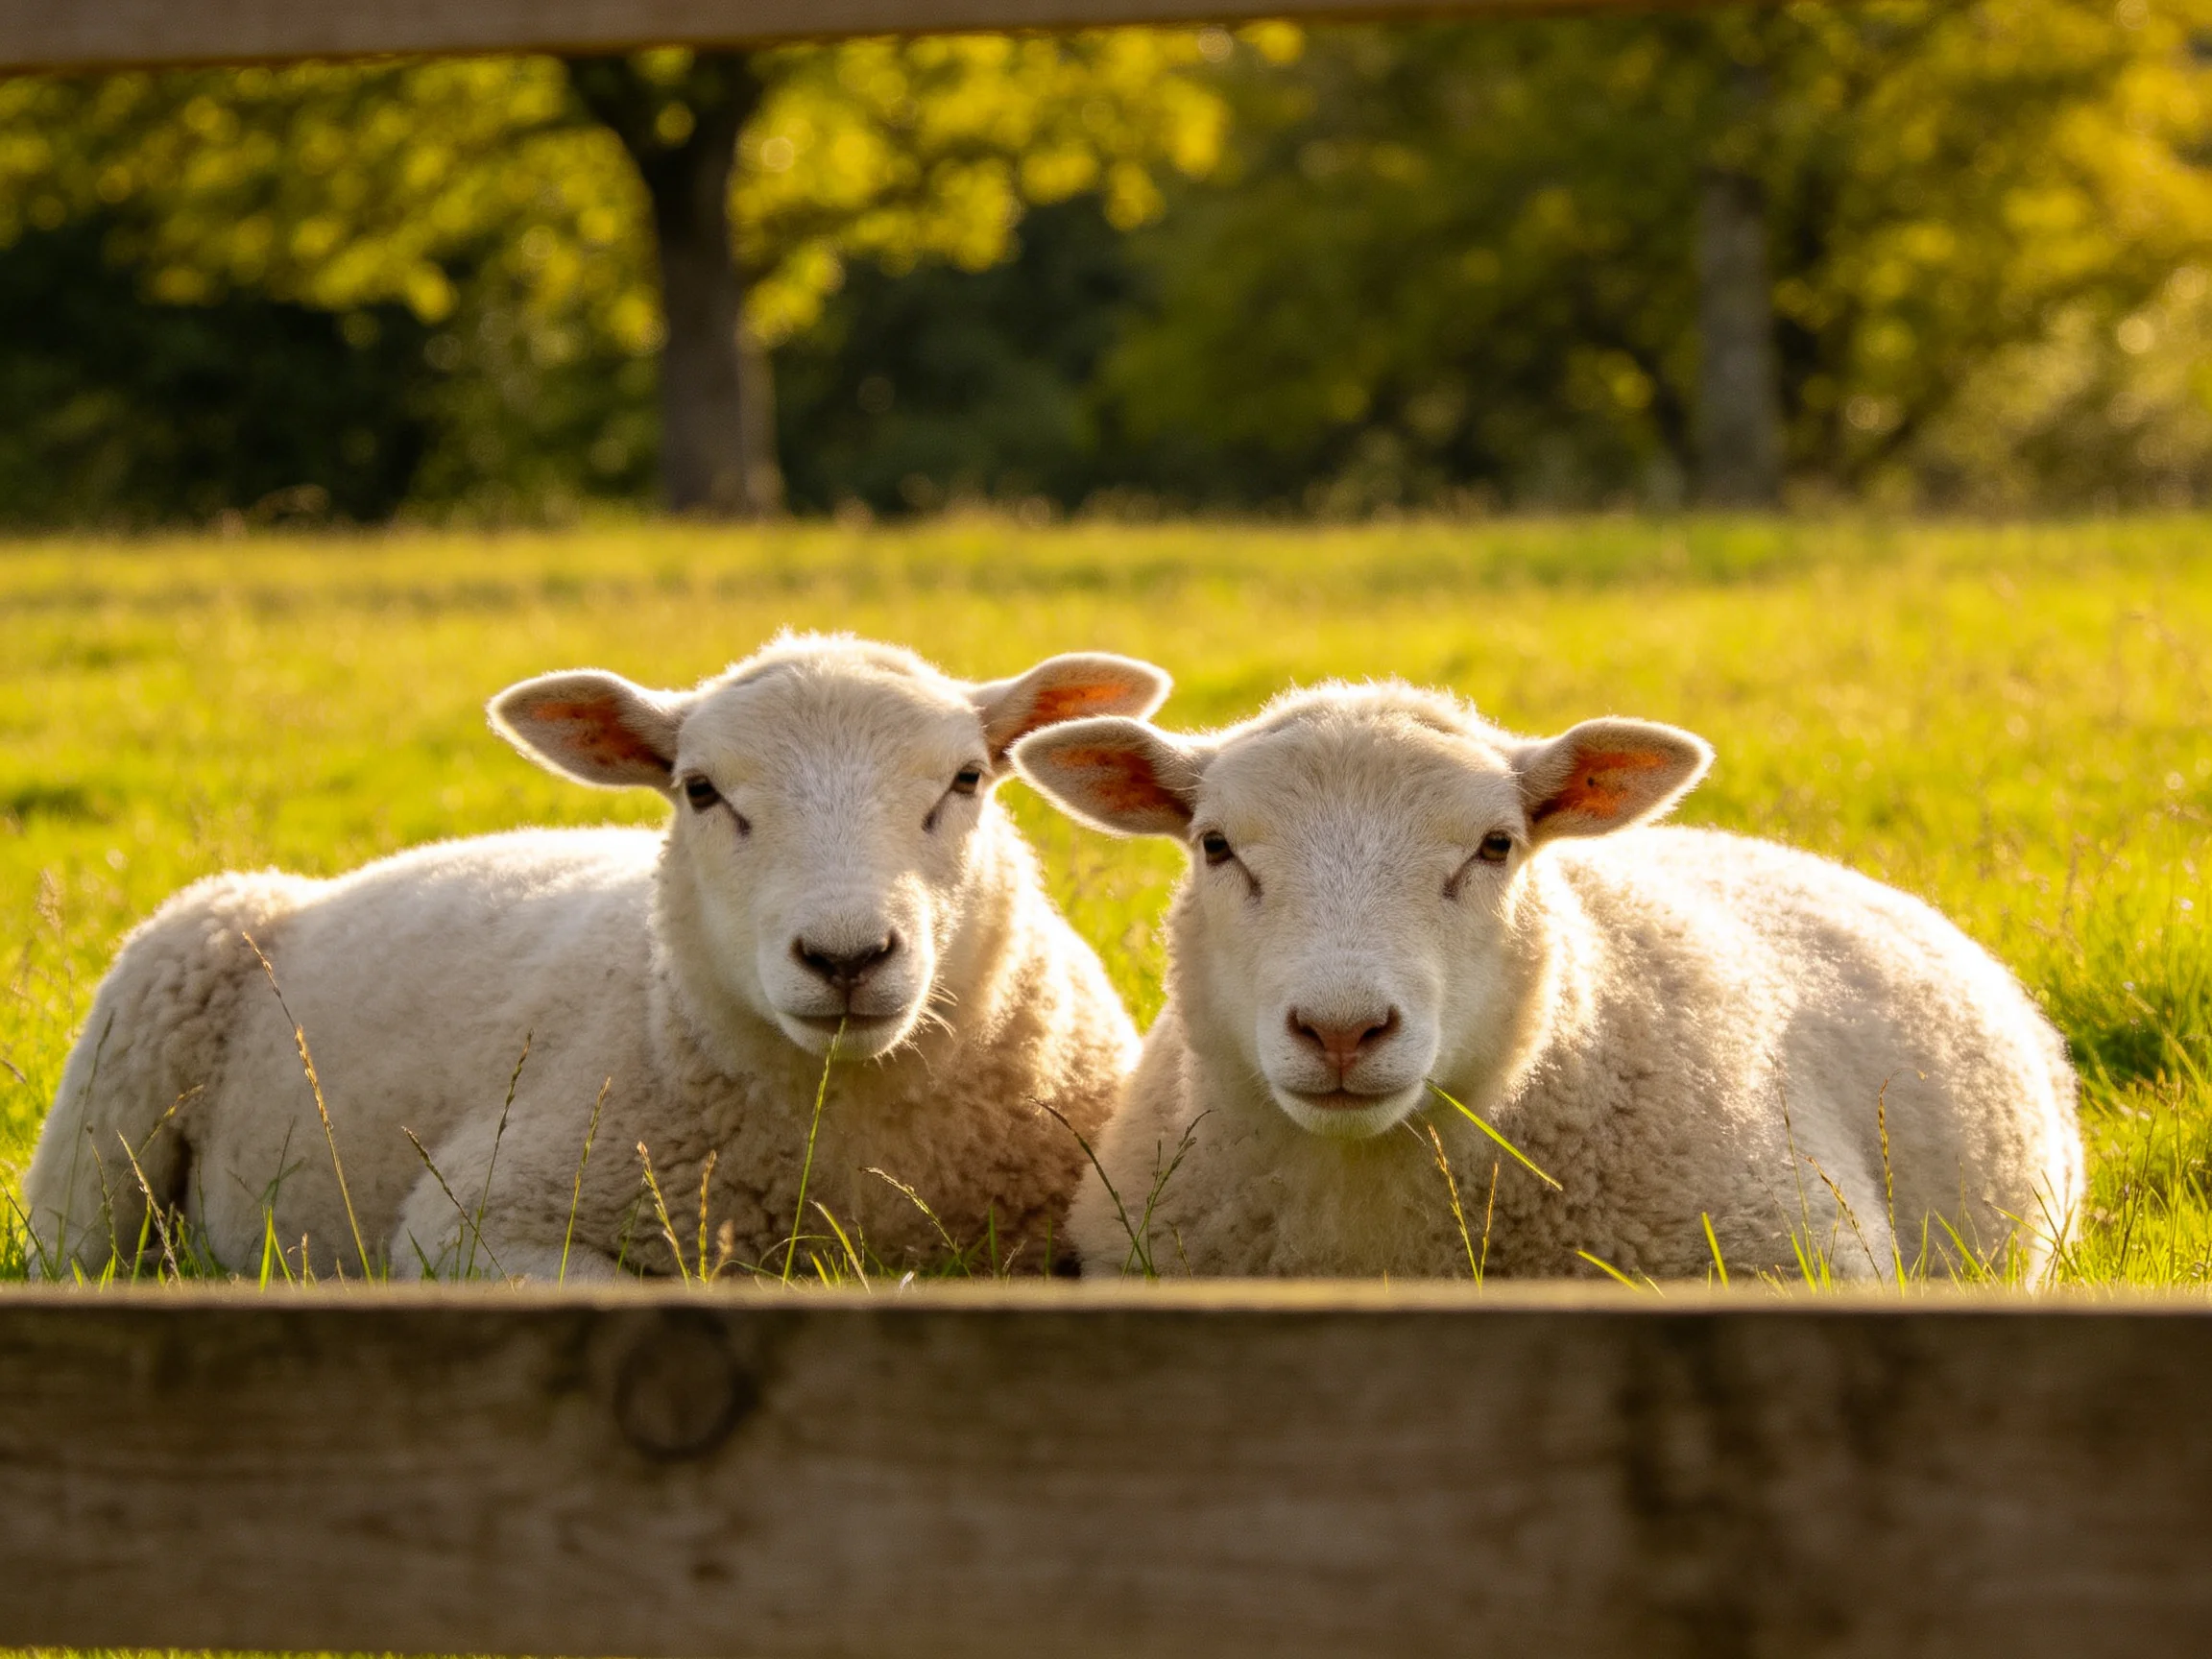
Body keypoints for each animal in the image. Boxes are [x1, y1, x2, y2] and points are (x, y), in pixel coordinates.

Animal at [25, 633, 1169, 1281]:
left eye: (967, 779)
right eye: (700, 791)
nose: (845, 956)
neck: (847, 1151)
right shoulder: (471, 1224)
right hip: (102, 1135)